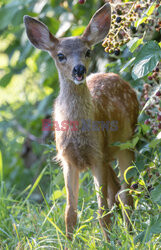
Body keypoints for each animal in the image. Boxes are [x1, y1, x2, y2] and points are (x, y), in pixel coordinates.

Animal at [23, 2, 138, 242]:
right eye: (60, 55)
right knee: (116, 190)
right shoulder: (68, 160)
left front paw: (108, 243)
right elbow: (70, 212)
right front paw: (68, 242)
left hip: (126, 144)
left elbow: (102, 209)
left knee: (126, 192)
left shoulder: (96, 156)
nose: (79, 69)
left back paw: (131, 234)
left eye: (87, 52)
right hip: (108, 154)